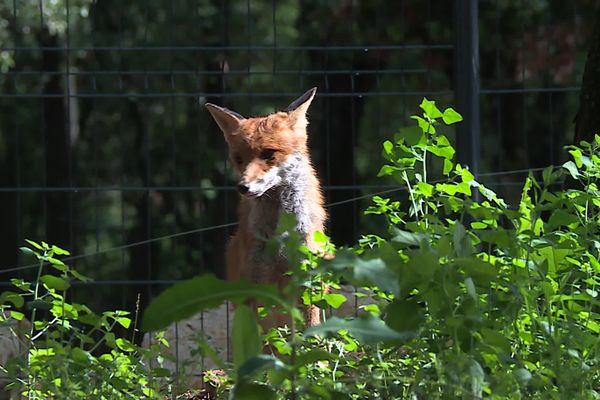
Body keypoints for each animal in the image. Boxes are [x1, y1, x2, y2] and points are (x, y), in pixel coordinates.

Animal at [207, 86, 328, 324]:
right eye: (238, 158)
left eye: (269, 153)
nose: (242, 187)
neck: (279, 234)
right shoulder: (255, 285)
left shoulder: (306, 284)